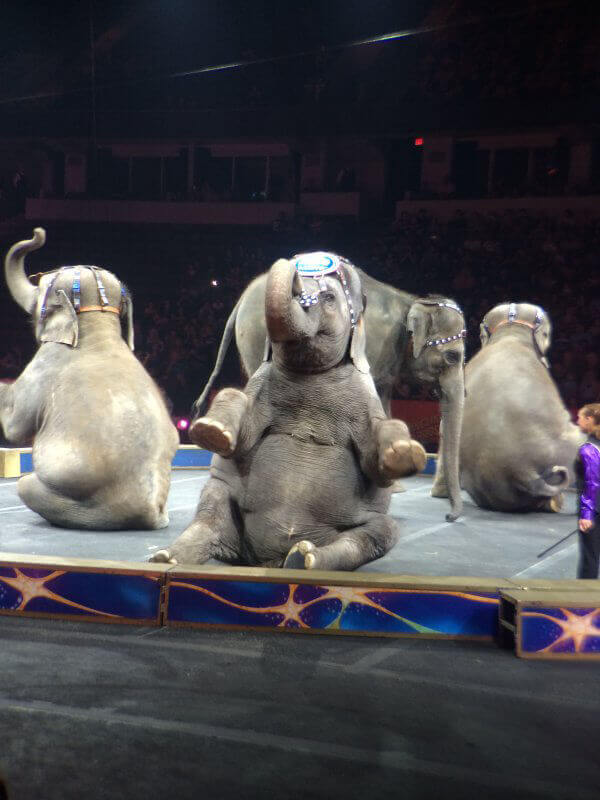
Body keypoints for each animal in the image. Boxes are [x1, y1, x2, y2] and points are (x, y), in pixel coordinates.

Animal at [0, 230, 178, 532]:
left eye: (41, 295)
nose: (38, 234)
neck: (97, 327)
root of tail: (149, 513)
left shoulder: (46, 363)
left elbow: (14, 426)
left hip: (85, 505)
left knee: (25, 486)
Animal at [154, 253, 426, 572]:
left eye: (329, 297)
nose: (295, 263)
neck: (311, 374)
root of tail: (266, 559)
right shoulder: (261, 385)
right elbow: (241, 430)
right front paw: (211, 432)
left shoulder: (365, 398)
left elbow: (374, 462)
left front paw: (404, 453)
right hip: (221, 494)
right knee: (210, 514)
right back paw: (166, 557)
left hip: (372, 524)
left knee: (377, 534)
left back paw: (305, 557)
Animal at [195, 255, 466, 520]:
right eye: (452, 357)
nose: (449, 516)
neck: (413, 301)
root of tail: (241, 300)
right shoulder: (381, 348)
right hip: (255, 335)